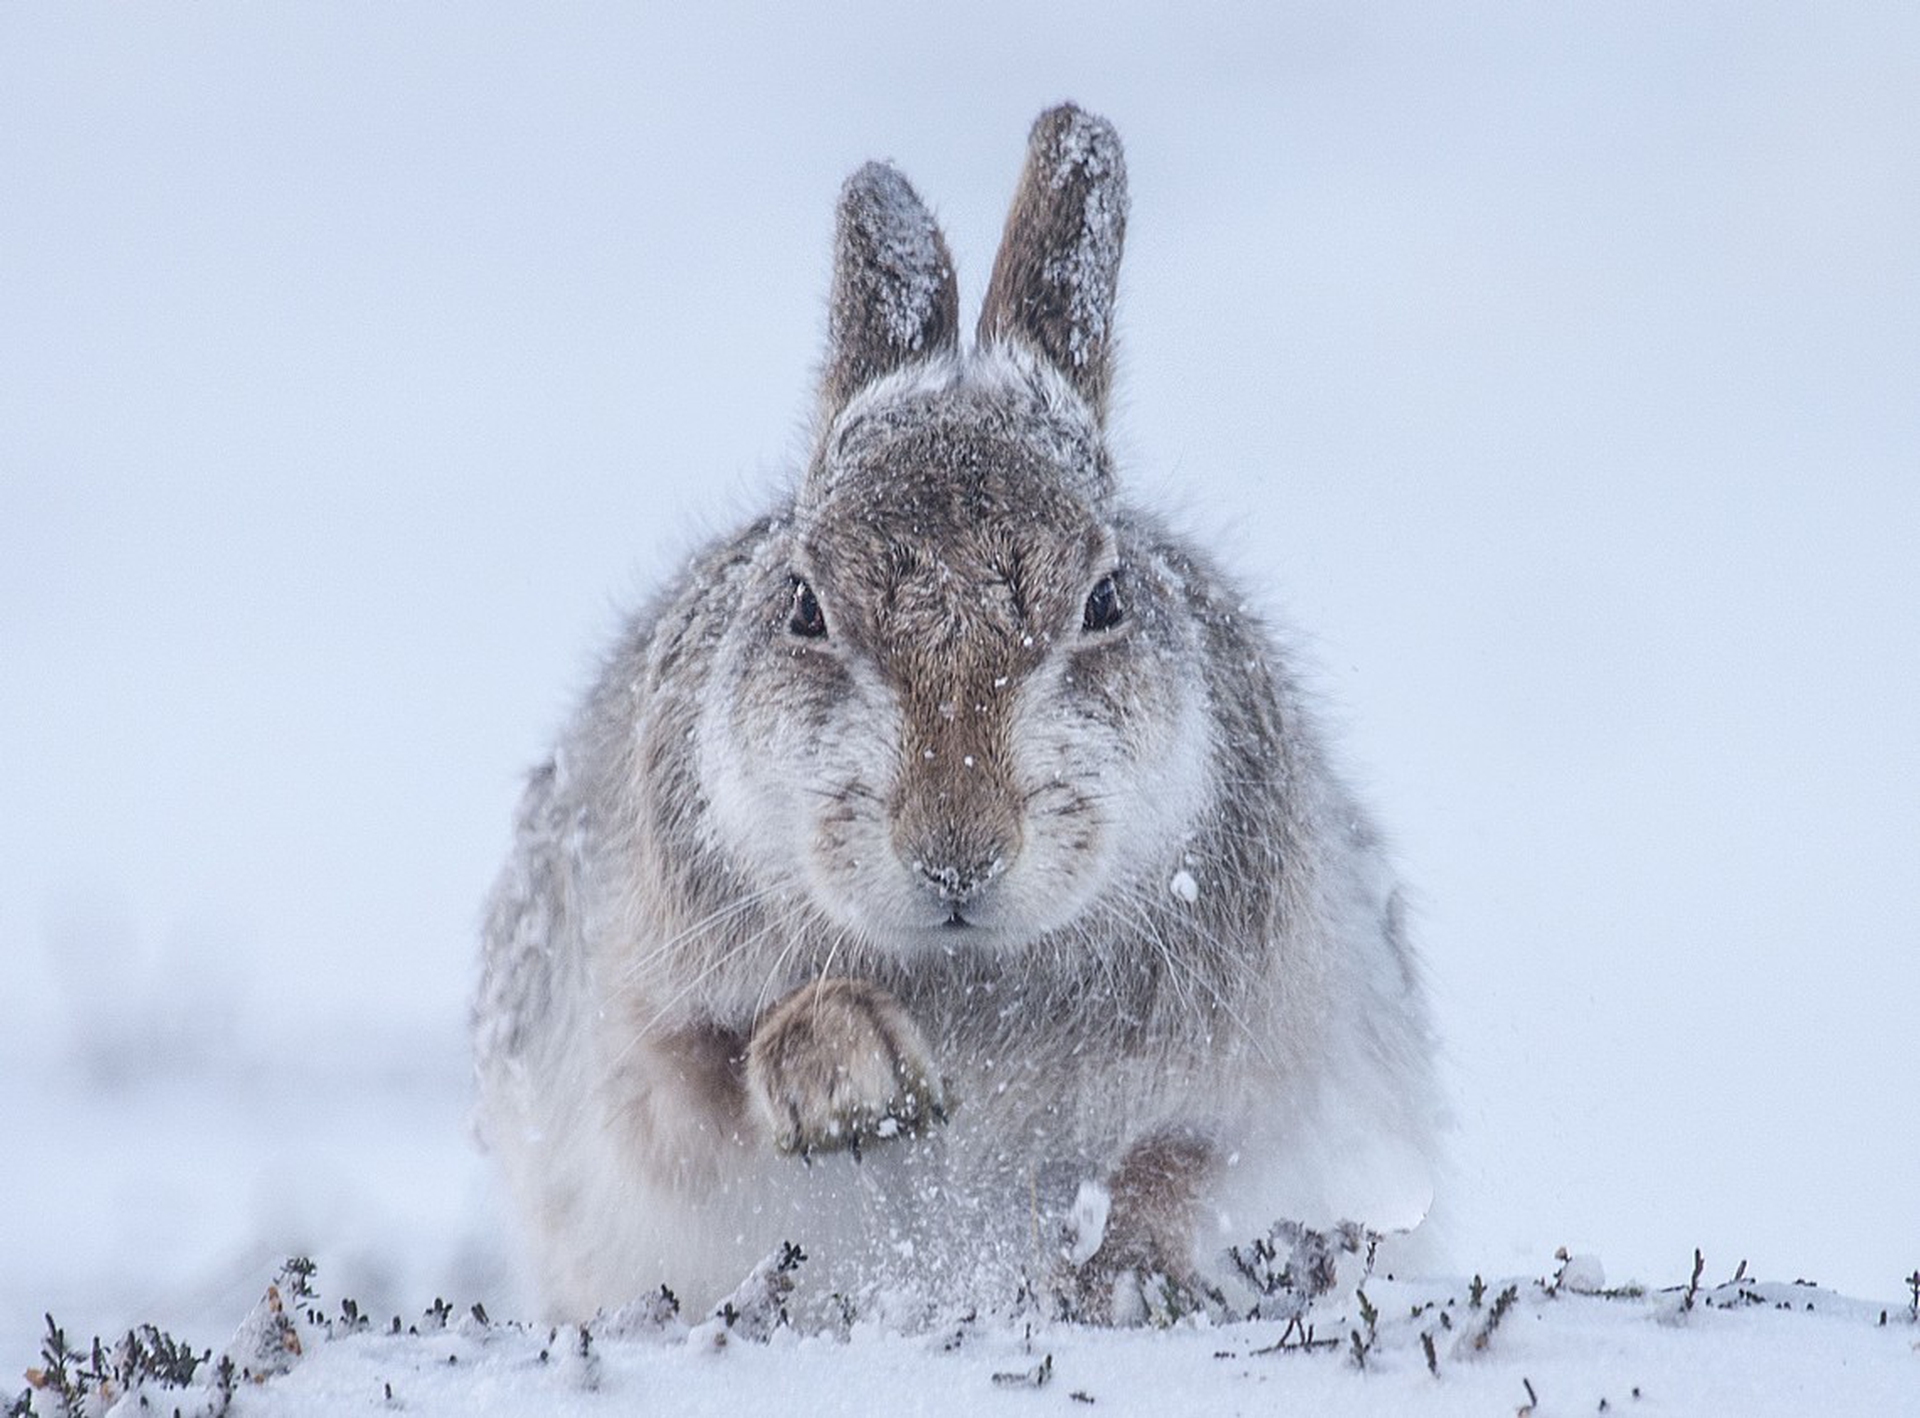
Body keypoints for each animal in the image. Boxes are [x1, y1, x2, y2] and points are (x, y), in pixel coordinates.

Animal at [472, 102, 1444, 1327]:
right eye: (804, 604)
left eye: (1106, 599)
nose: (956, 853)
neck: (965, 973)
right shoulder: (638, 1056)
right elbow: (723, 1069)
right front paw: (862, 1081)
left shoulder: (1270, 1082)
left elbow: (1180, 1165)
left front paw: (1124, 1276)